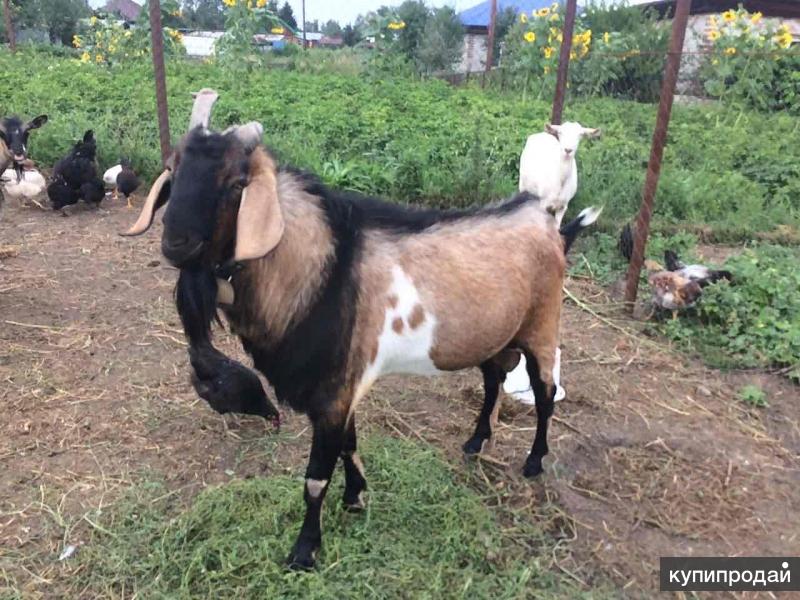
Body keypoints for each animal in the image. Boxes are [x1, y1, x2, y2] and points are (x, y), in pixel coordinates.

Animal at [125, 88, 600, 568]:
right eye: (173, 168)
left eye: (237, 183)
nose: (176, 243)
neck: (321, 270)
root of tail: (554, 230)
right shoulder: (344, 387)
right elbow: (350, 445)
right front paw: (356, 497)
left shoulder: (332, 392)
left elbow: (316, 478)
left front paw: (304, 550)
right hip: (494, 335)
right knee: (492, 382)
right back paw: (475, 441)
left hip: (543, 326)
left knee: (544, 393)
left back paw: (534, 462)